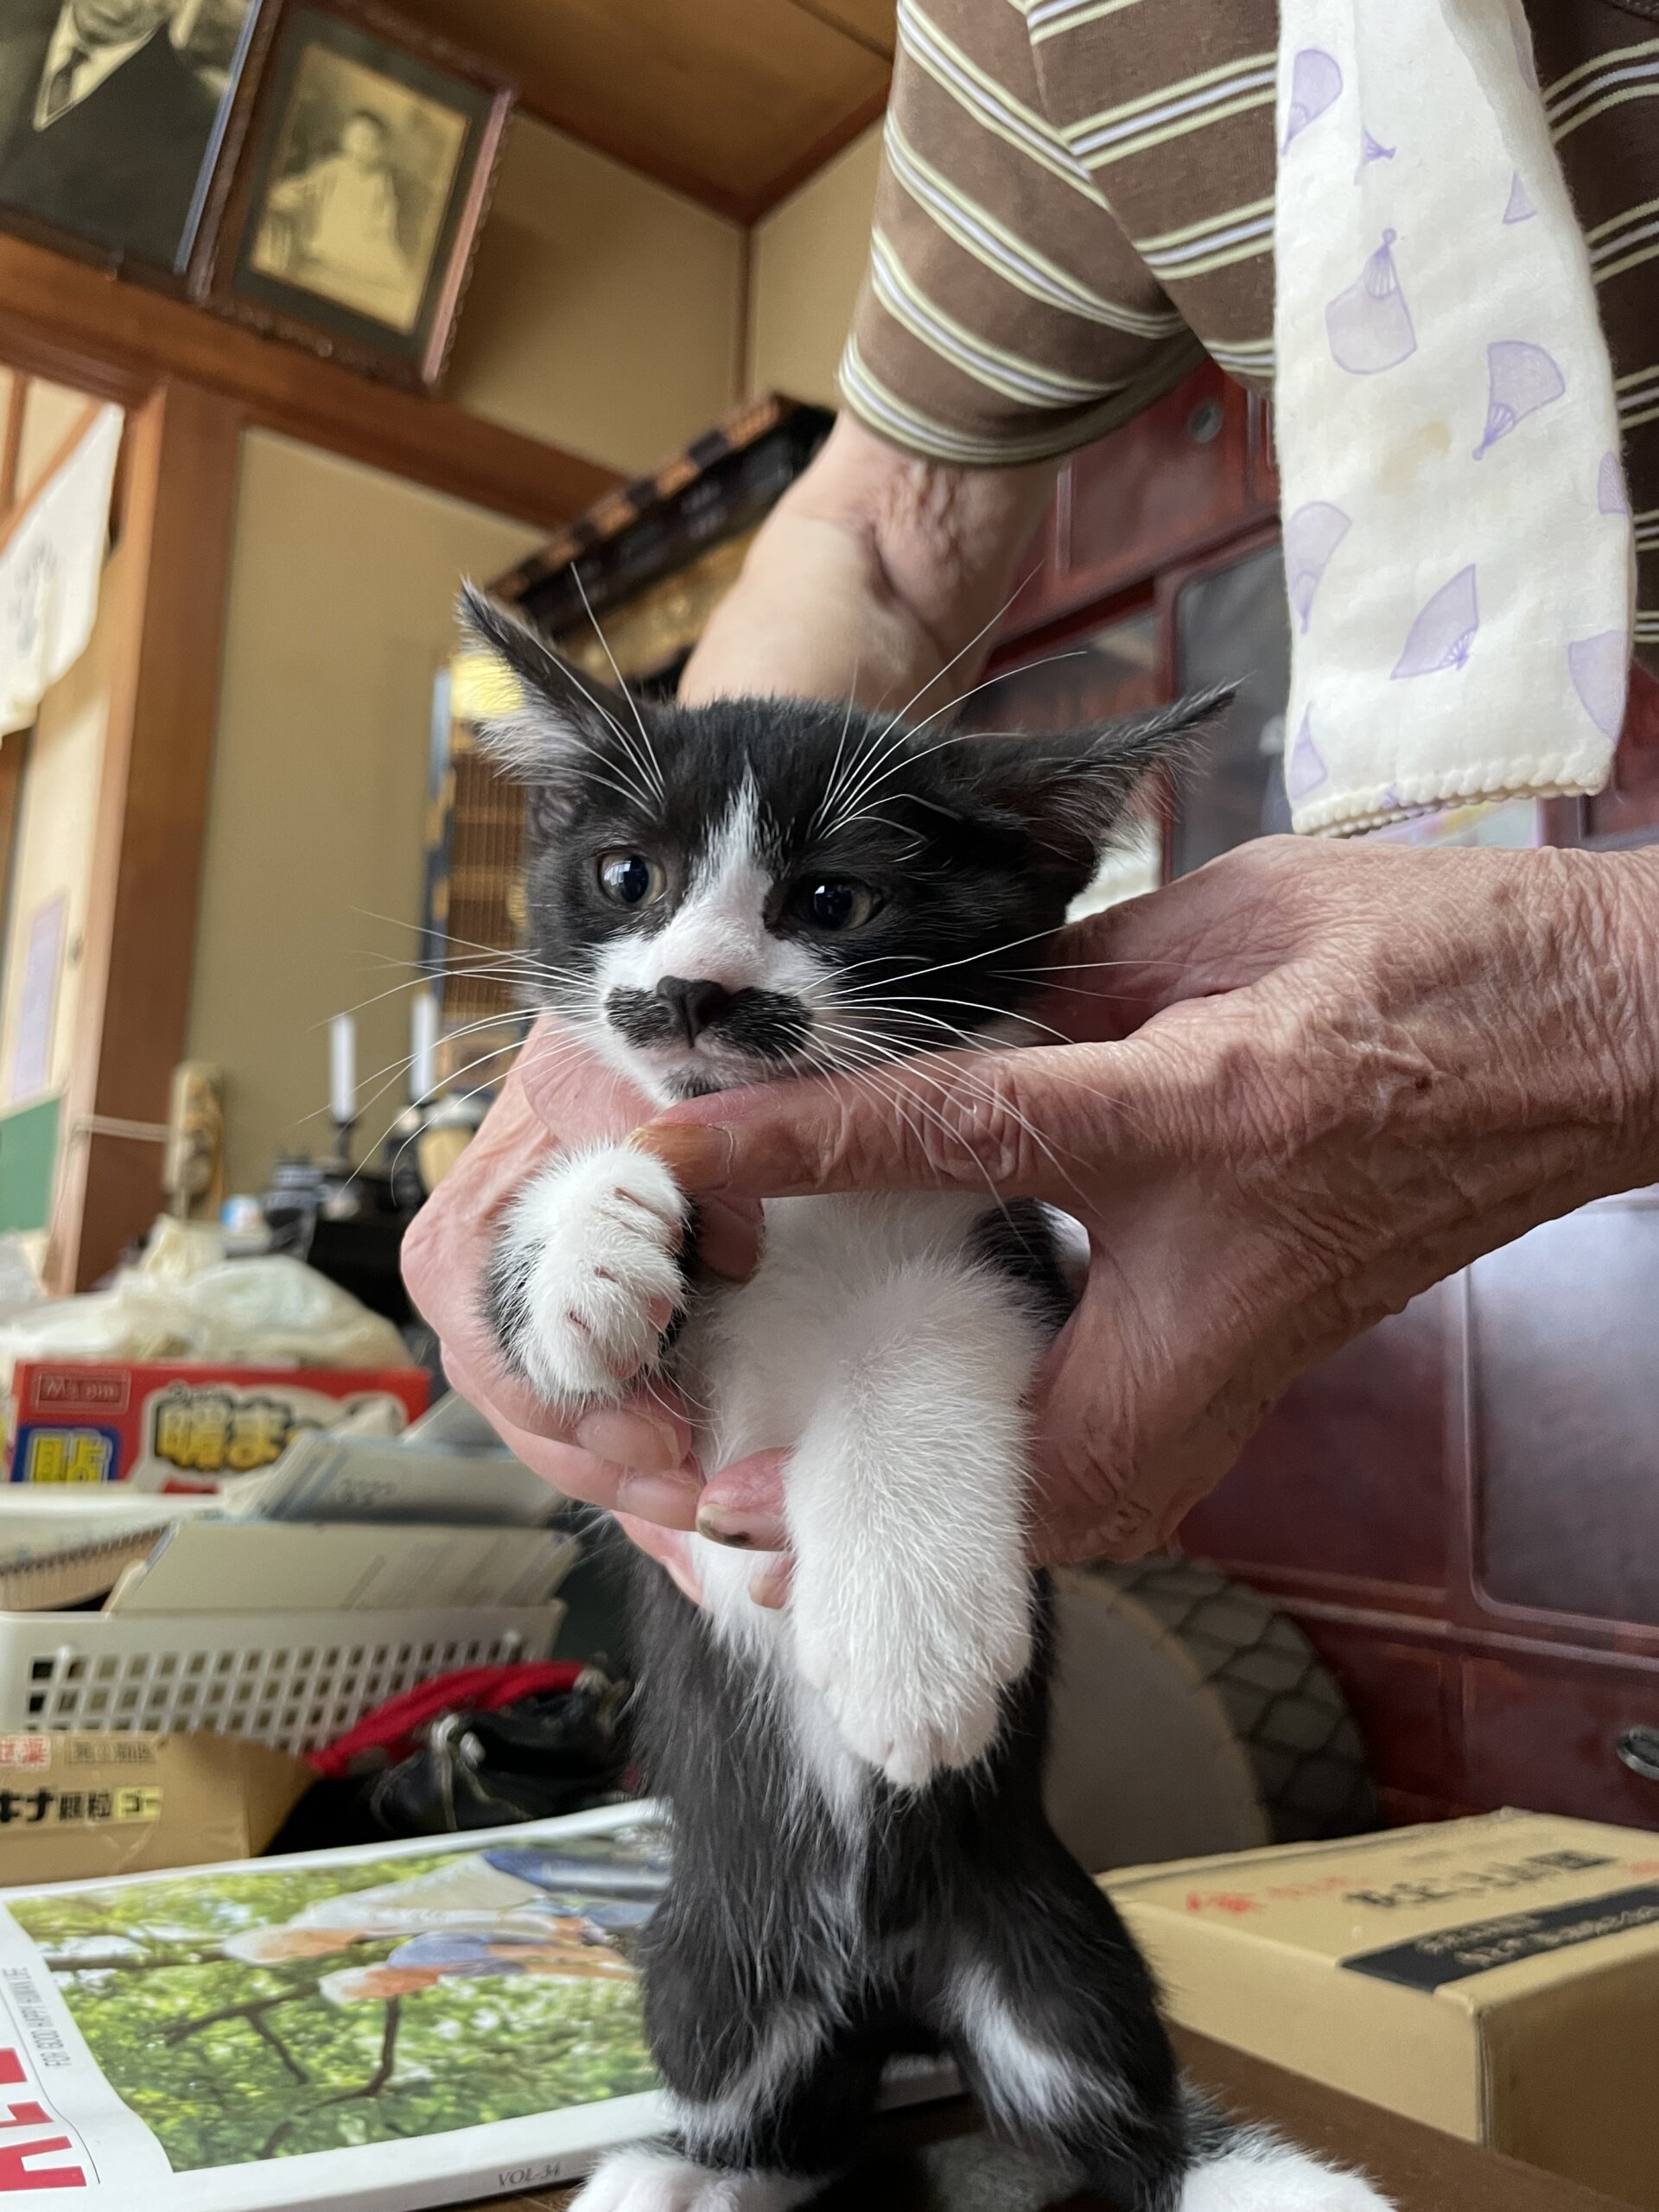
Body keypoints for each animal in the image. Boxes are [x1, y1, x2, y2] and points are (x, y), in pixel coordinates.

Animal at [463, 586, 1391, 2212]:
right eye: (627, 876)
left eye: (834, 902)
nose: (693, 990)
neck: (801, 1198)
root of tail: (894, 1984)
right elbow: (547, 1325)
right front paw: (596, 1233)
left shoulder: (1003, 1249)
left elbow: (920, 1342)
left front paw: (908, 1653)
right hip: (713, 1964)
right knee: (781, 2110)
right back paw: (679, 2172)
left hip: (1053, 1939)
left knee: (1123, 2109)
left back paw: (1264, 2178)